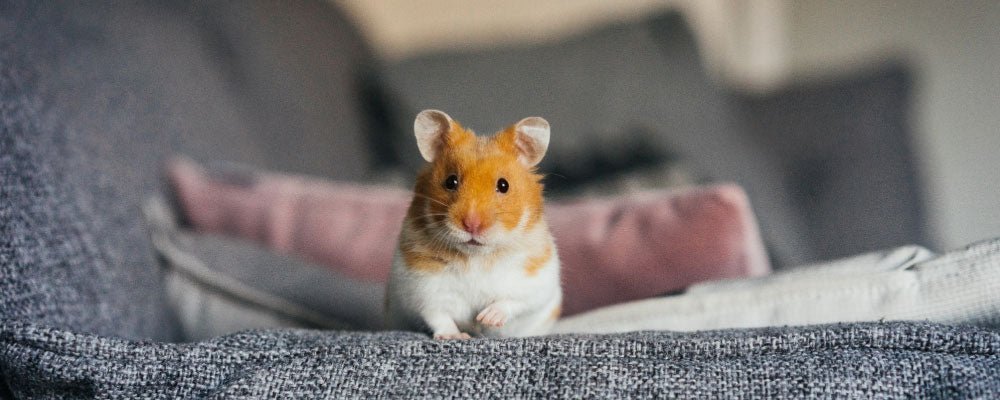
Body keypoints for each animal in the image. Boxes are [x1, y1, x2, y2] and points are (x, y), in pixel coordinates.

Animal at [386, 109, 562, 340]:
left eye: (503, 185)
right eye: (451, 181)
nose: (472, 225)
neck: (476, 256)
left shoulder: (536, 282)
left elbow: (514, 302)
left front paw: (486, 318)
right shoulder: (422, 288)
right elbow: (438, 315)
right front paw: (455, 336)